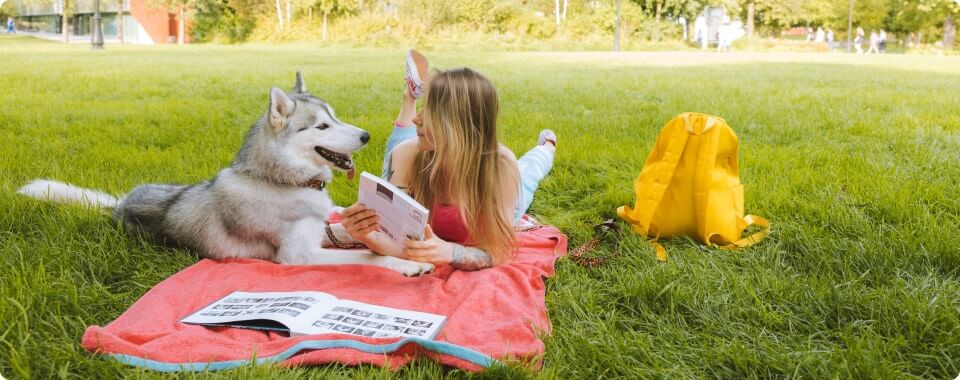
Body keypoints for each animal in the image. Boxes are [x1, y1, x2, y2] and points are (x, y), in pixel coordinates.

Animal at [17, 72, 436, 276]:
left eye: (335, 116)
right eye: (321, 126)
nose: (366, 136)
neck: (280, 181)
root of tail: (120, 204)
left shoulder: (322, 230)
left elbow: (351, 235)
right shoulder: (297, 254)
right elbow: (367, 258)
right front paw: (408, 264)